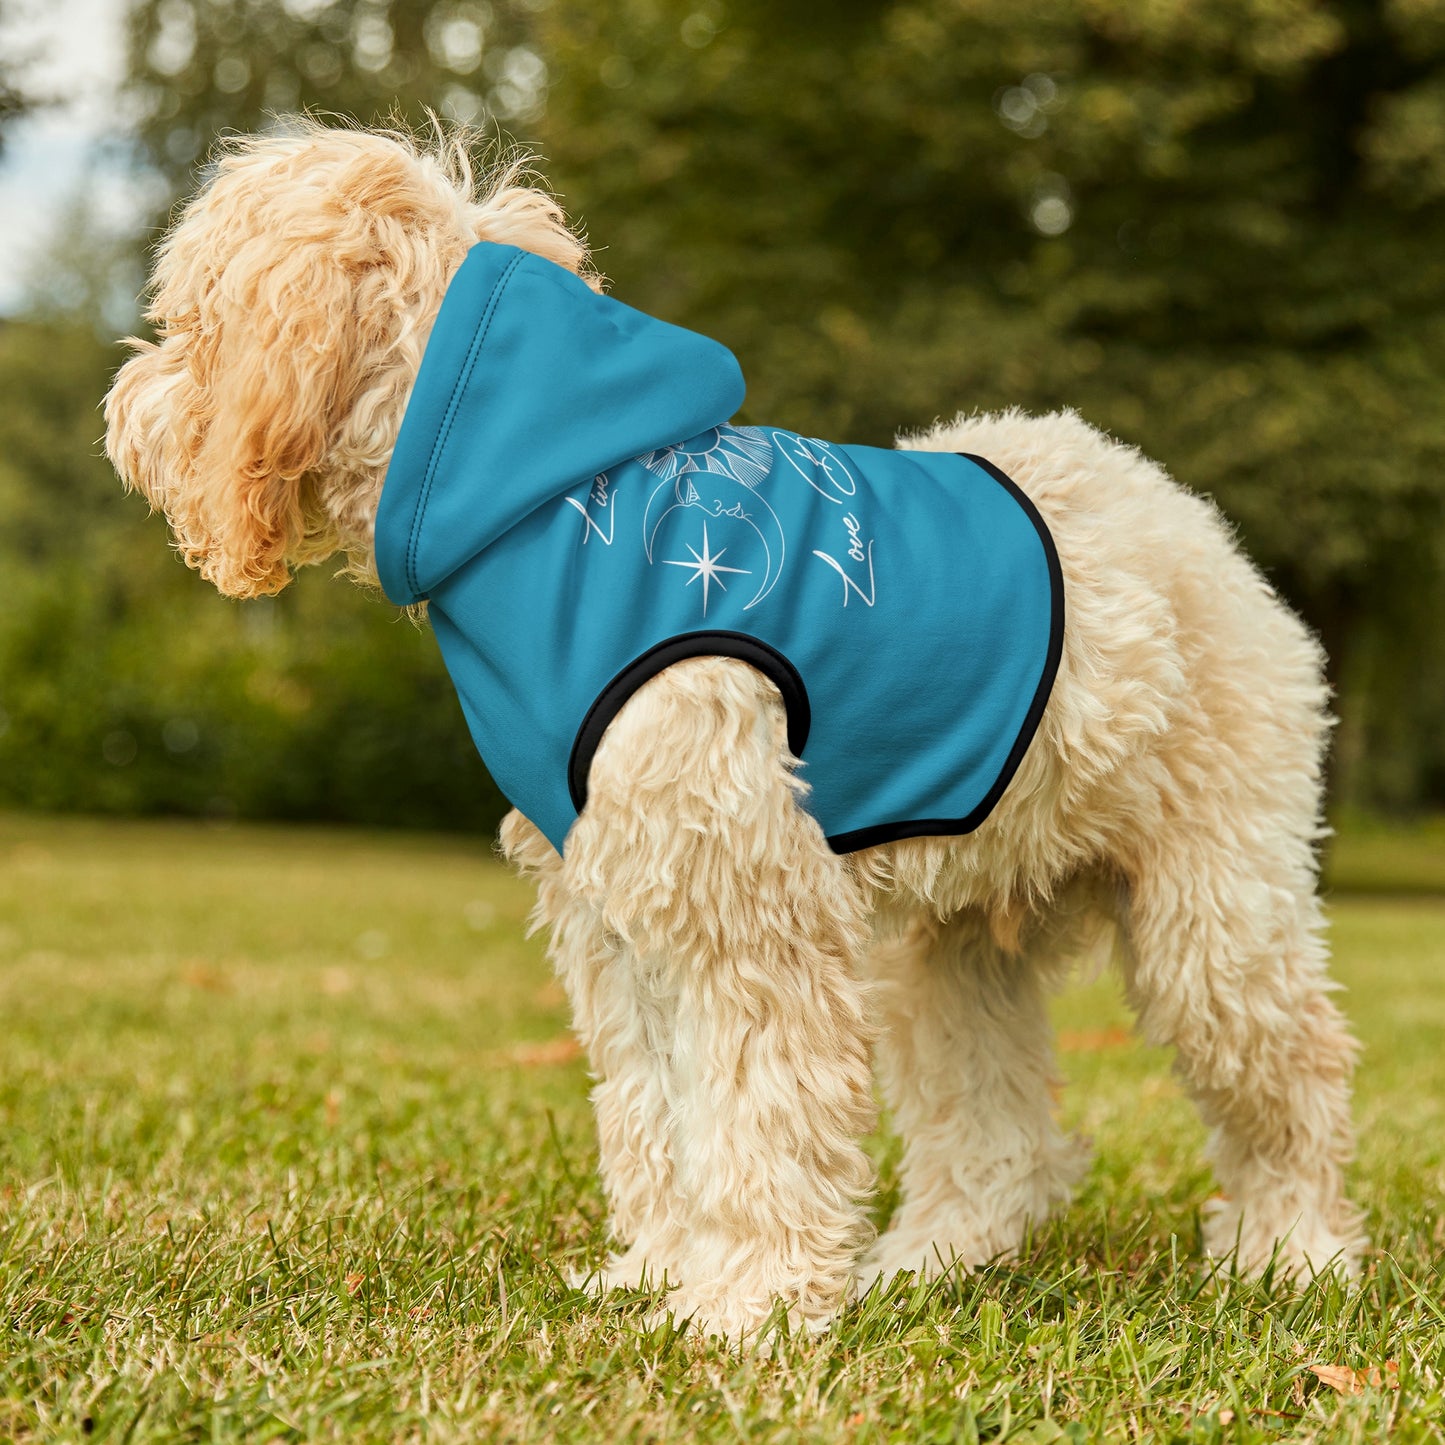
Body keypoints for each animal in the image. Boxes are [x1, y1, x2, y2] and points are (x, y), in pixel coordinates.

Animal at [104, 124, 1364, 1340]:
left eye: (190, 318)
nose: (122, 407)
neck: (543, 500)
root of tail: (1185, 517)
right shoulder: (619, 912)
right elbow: (656, 1112)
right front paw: (662, 1273)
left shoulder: (744, 906)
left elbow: (758, 1114)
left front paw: (747, 1304)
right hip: (949, 948)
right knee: (996, 1134)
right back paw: (930, 1260)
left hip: (1213, 916)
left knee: (1293, 1076)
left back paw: (1290, 1251)